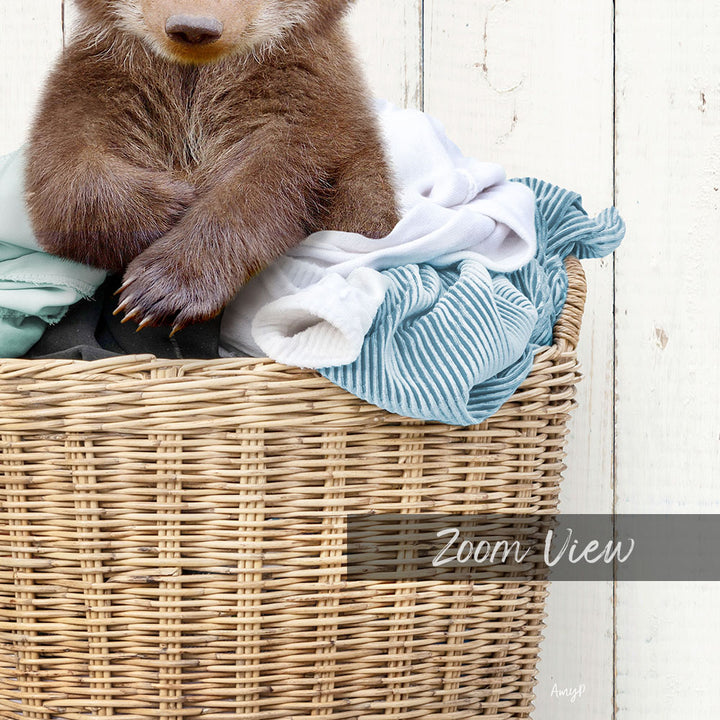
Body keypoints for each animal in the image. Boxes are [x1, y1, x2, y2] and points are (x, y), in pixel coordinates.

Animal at [24, 0, 399, 334]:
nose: (194, 27)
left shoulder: (308, 96)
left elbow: (272, 180)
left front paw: (159, 292)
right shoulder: (106, 79)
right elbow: (66, 168)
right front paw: (171, 205)